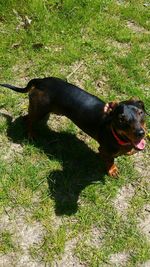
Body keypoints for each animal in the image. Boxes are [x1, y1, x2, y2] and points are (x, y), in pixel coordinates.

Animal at [0, 77, 146, 177]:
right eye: (121, 119)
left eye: (141, 113)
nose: (140, 133)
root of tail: (41, 81)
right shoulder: (105, 150)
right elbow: (110, 160)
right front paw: (112, 170)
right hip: (40, 110)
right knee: (30, 122)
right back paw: (31, 134)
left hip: (41, 110)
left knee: (28, 116)